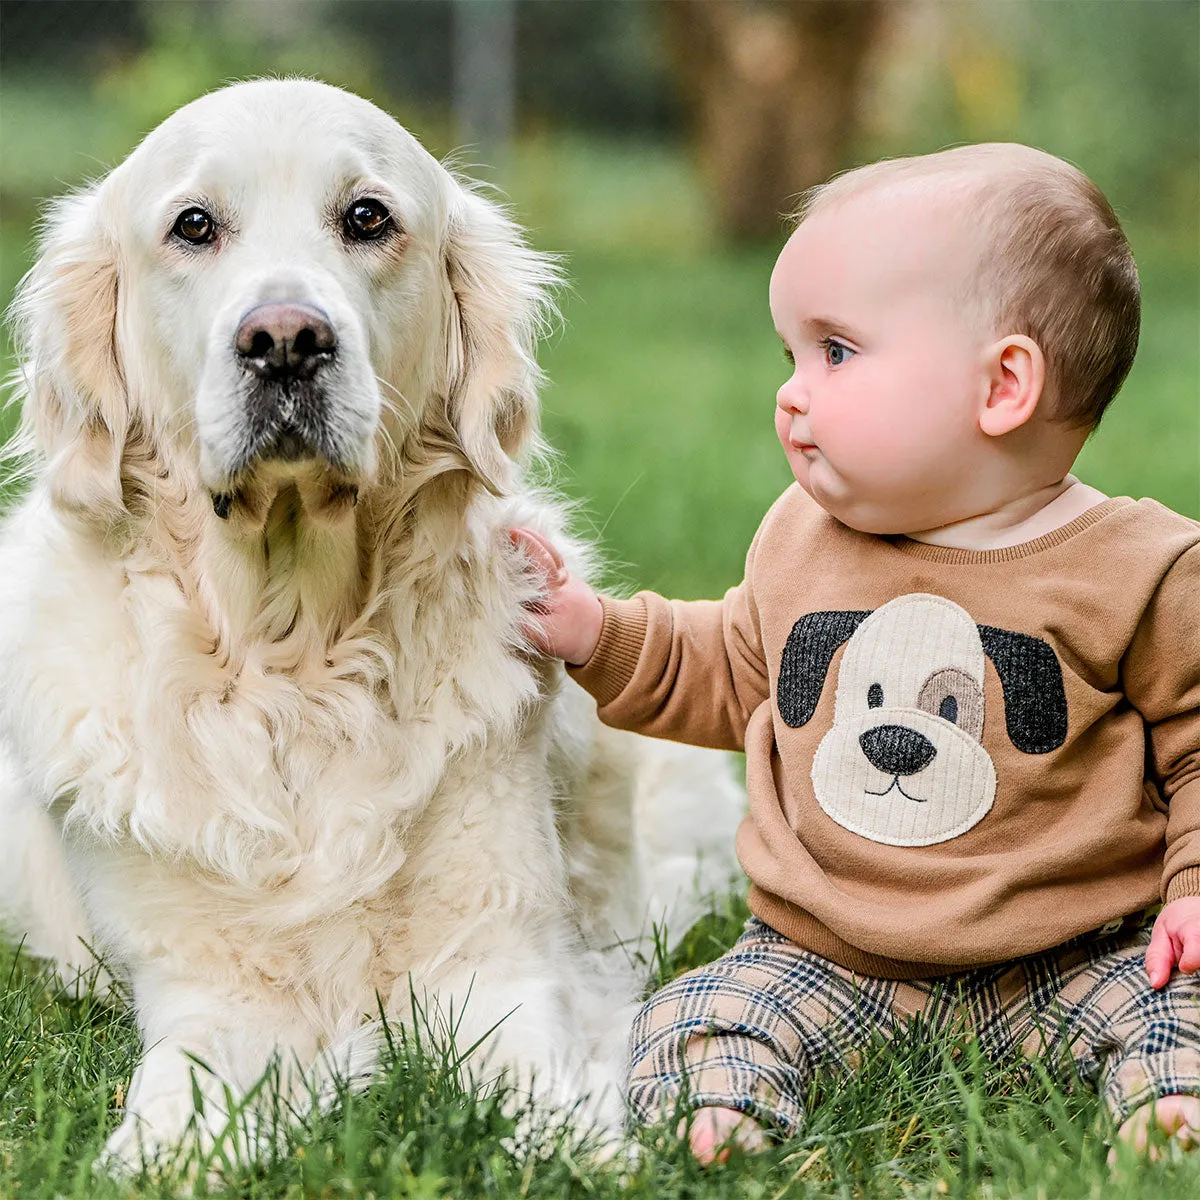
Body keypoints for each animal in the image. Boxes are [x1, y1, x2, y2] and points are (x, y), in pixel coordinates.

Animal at [0, 82, 739, 1171]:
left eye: (367, 217)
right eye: (193, 226)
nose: (285, 340)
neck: (296, 660)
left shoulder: (500, 957)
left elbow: (542, 1085)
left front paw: (596, 1148)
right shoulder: (209, 993)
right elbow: (172, 1109)